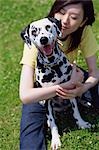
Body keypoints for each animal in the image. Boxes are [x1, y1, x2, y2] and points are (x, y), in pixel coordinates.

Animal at [20, 17, 91, 150]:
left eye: (48, 27)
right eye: (34, 31)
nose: (43, 39)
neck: (53, 66)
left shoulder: (71, 89)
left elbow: (76, 111)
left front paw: (82, 123)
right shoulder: (47, 99)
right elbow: (53, 122)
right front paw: (55, 139)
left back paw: (85, 101)